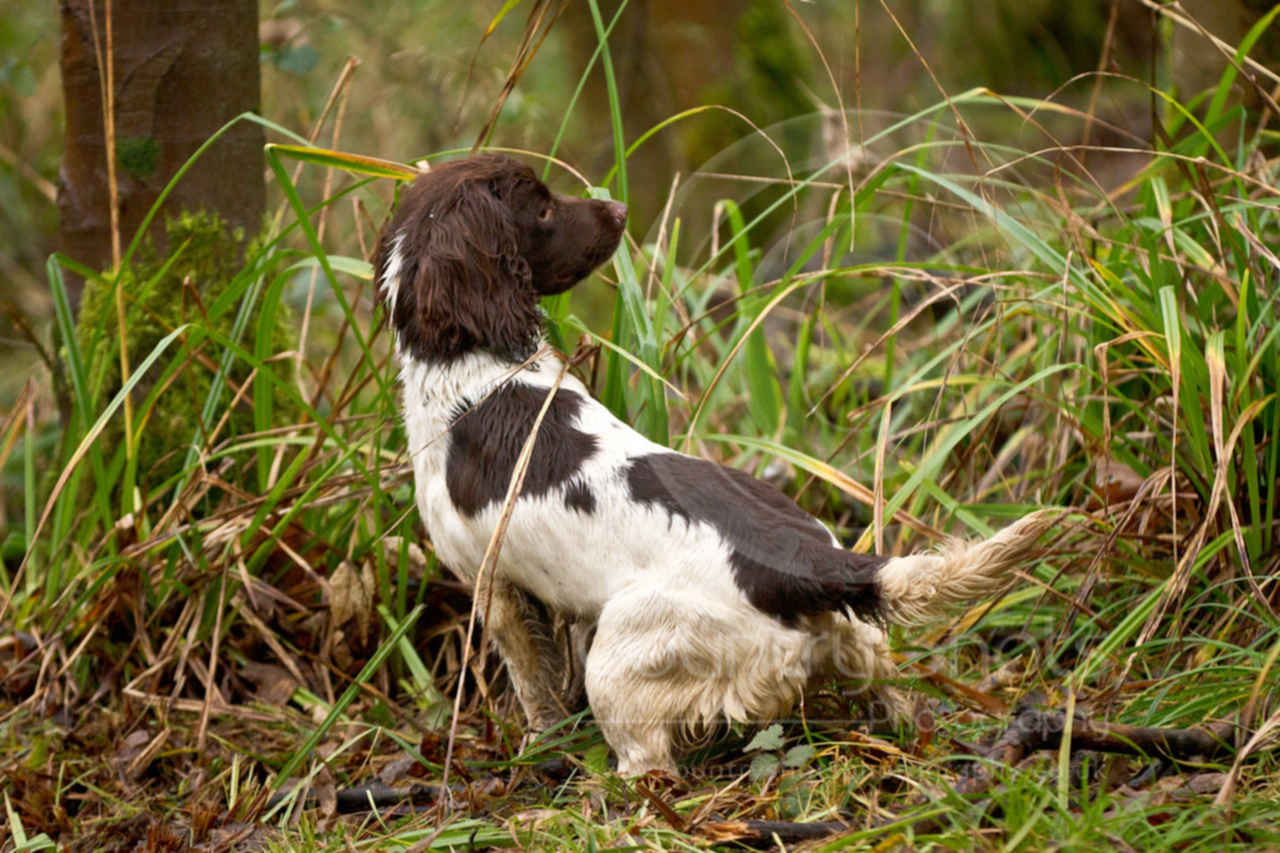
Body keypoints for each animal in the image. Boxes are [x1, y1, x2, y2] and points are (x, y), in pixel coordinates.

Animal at [373, 154, 1054, 778]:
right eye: (540, 210)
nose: (619, 208)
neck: (474, 366)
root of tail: (810, 561)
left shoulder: (493, 585)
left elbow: (531, 680)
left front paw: (539, 745)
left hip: (626, 659)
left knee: (649, 764)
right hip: (855, 641)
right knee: (900, 697)